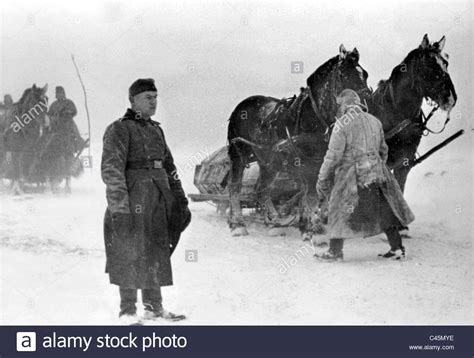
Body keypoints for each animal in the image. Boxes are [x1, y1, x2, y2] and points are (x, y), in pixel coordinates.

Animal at [226, 44, 370, 236]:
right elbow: (309, 194)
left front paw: (314, 224)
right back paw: (238, 224)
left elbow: (320, 194)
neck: (313, 119)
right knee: (235, 187)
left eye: (365, 75)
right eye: (345, 75)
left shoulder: (323, 163)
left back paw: (275, 221)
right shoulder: (305, 164)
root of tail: (241, 105)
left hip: (269, 163)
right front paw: (310, 227)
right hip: (238, 155)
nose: (365, 106)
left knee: (262, 190)